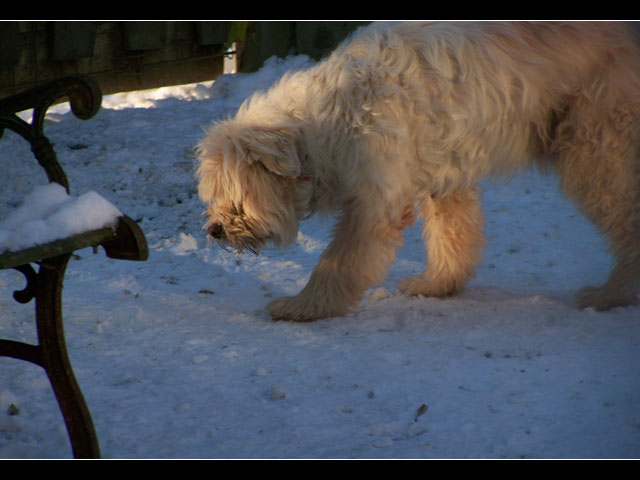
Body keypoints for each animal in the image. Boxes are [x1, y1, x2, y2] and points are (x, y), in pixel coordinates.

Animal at [196, 22, 640, 322]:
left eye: (235, 197)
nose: (214, 230)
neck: (329, 119)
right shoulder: (444, 175)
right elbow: (452, 236)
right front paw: (437, 284)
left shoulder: (375, 203)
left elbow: (337, 262)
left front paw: (303, 306)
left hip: (595, 151)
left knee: (626, 221)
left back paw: (610, 295)